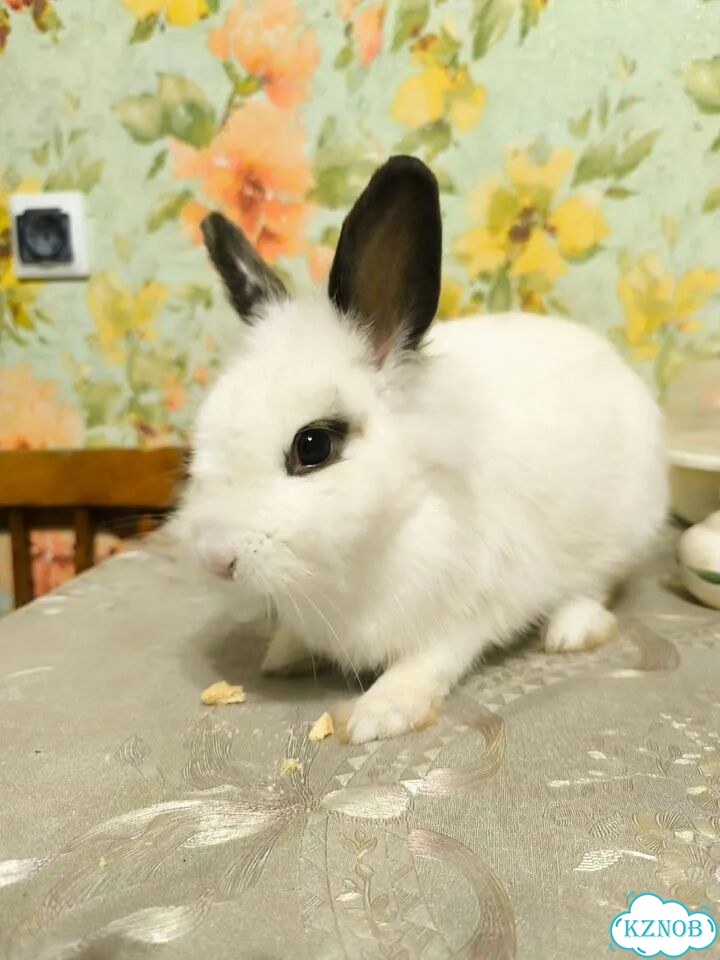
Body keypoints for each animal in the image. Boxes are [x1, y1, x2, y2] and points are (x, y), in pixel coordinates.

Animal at [174, 155, 668, 744]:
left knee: (597, 583)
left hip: (623, 529)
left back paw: (570, 630)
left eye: (313, 446)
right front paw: (284, 653)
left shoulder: (468, 609)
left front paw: (380, 714)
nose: (215, 559)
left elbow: (428, 662)